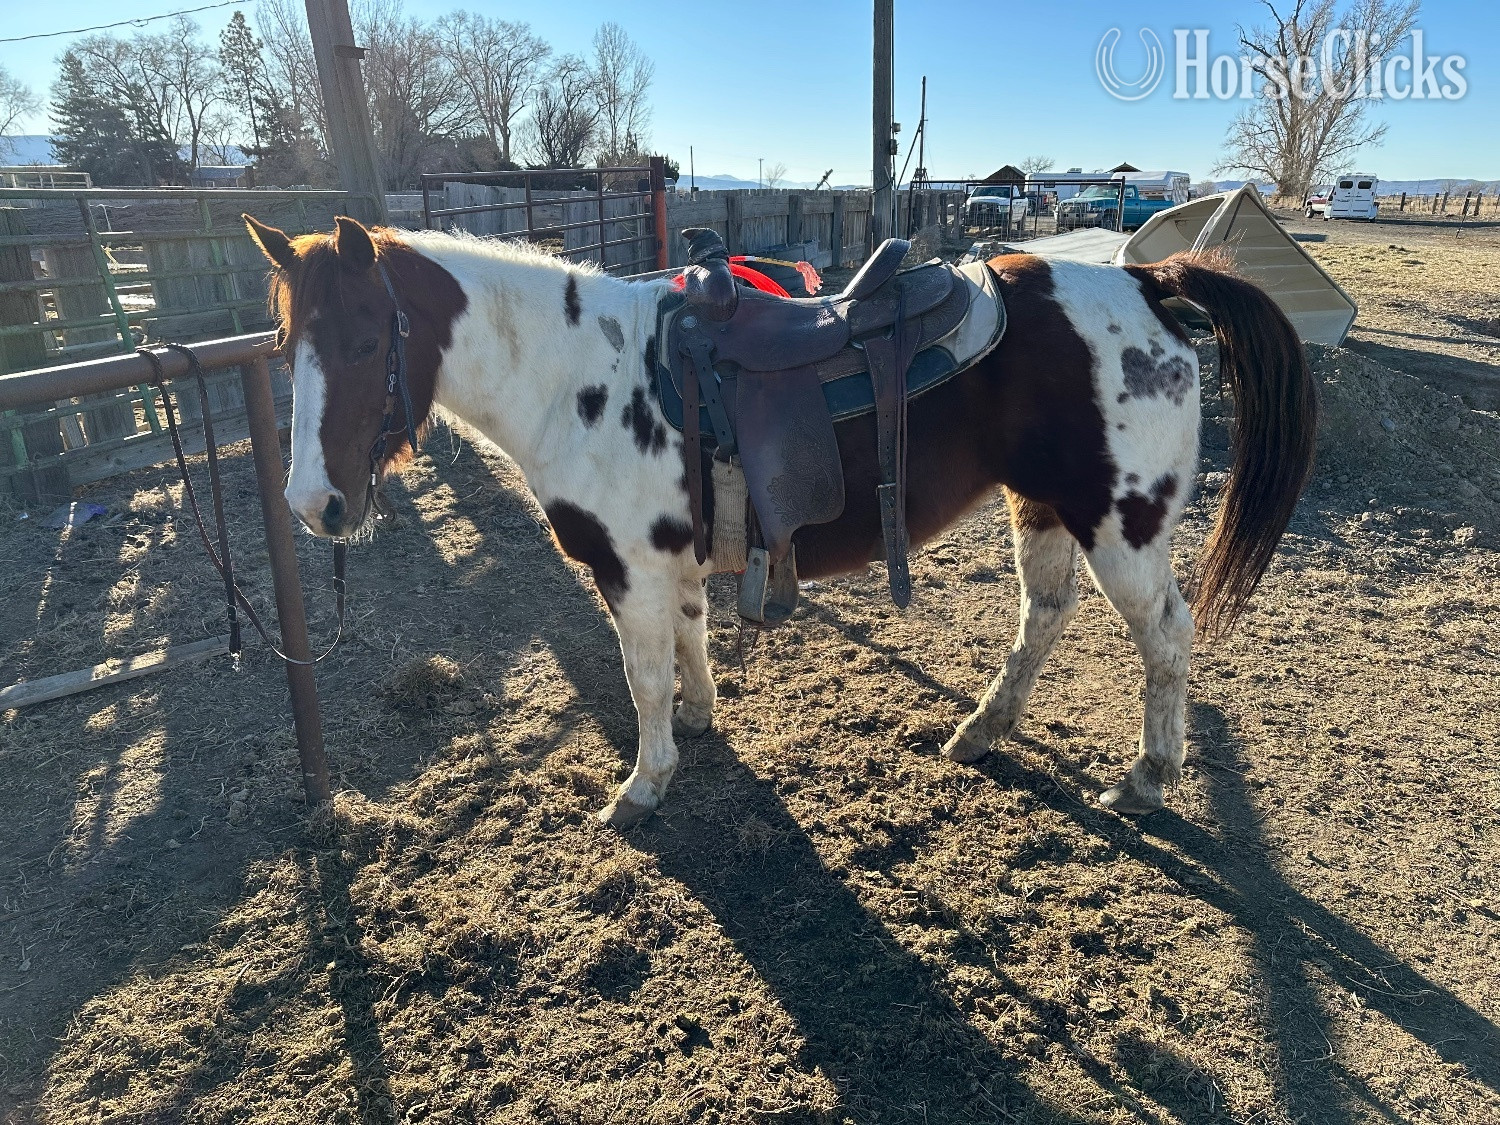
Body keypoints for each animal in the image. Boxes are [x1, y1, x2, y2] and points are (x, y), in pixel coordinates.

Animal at [243, 213, 1316, 829]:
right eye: (287, 342)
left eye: (365, 339)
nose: (312, 504)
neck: (579, 378)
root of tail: (1148, 282)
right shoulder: (667, 566)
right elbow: (687, 643)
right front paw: (699, 722)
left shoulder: (627, 569)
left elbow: (640, 677)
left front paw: (643, 784)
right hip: (1043, 505)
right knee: (1043, 617)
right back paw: (979, 731)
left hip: (1120, 522)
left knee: (1166, 636)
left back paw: (1147, 775)